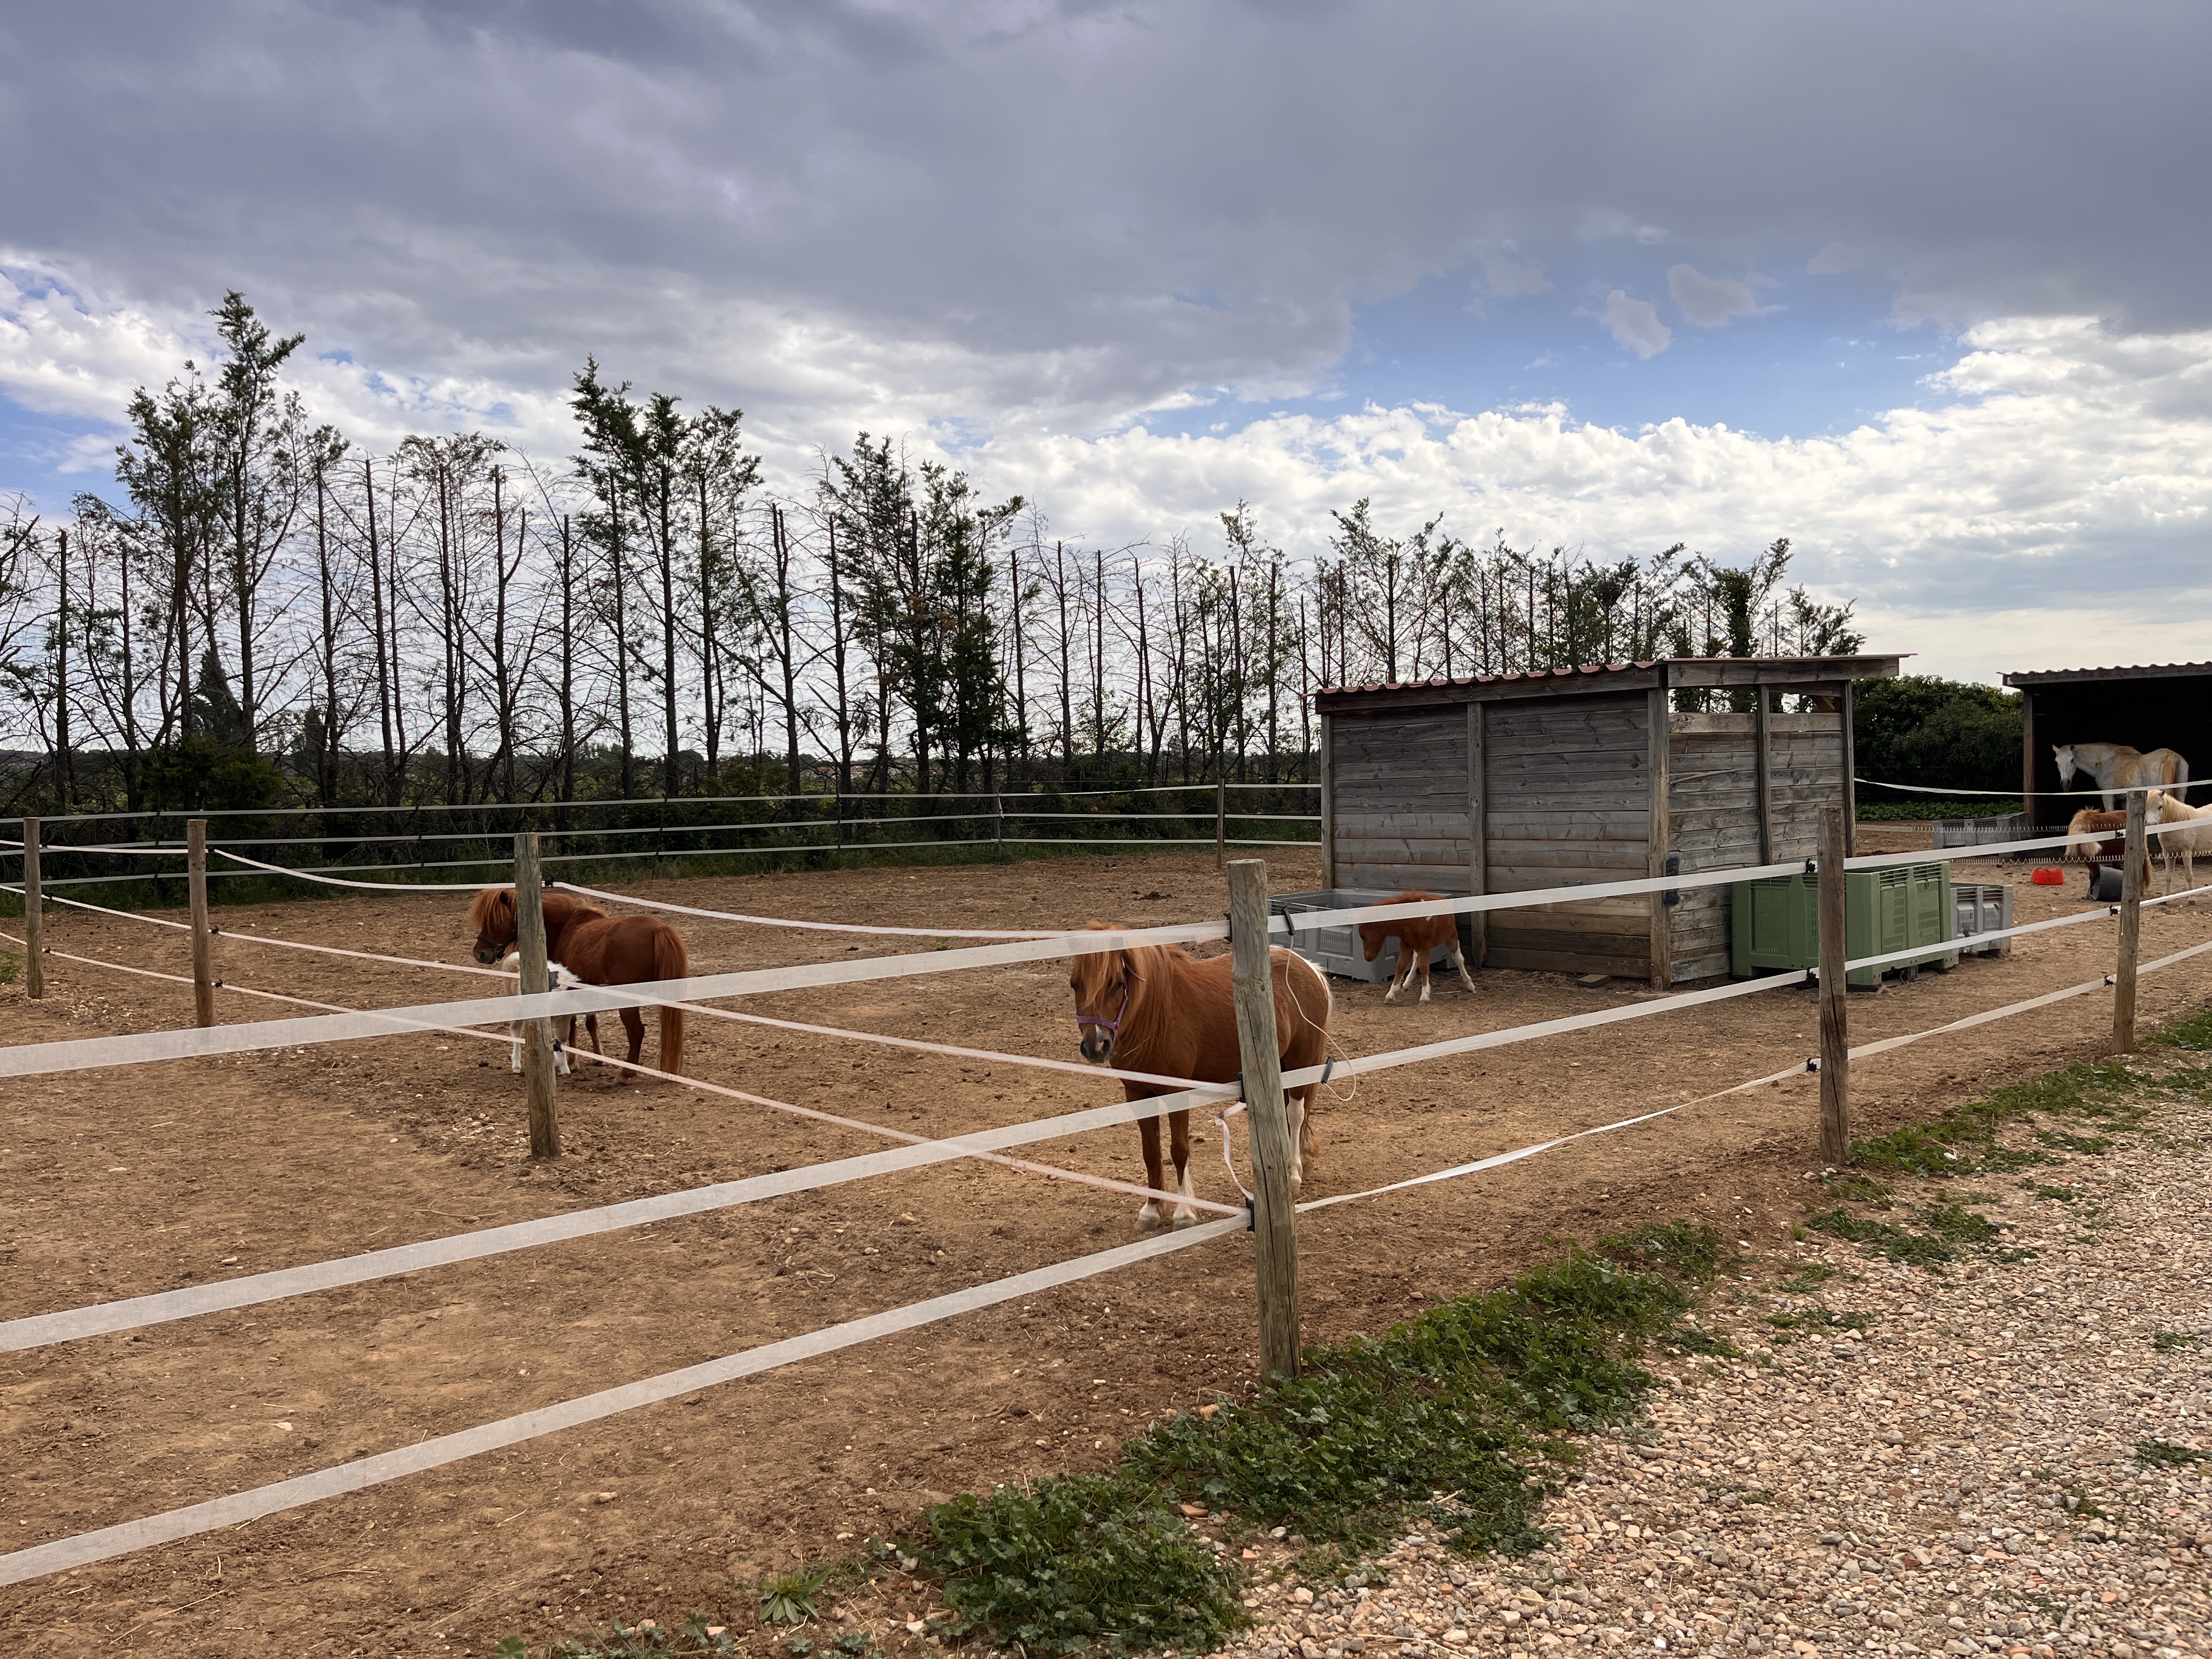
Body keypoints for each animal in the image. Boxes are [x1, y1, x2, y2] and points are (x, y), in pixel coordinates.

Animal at [469, 888, 687, 1080]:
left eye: (495, 920)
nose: (480, 953)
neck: (565, 927)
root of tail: (659, 930)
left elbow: (571, 1027)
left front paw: (571, 1062)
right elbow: (591, 1023)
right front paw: (597, 1057)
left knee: (636, 1032)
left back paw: (626, 1074)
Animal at [1068, 925, 1332, 1230]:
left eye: (1118, 983)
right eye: (1075, 984)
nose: (1096, 1046)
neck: (1155, 1016)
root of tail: (1310, 968)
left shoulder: (1176, 1094)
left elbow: (1179, 1150)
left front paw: (1184, 1213)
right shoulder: (1138, 1094)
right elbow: (1150, 1152)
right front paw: (1152, 1210)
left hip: (1299, 1066)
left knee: (1296, 1114)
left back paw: (1292, 1175)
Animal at [1357, 890, 1476, 1003]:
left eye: (1363, 935)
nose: (1367, 958)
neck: (1412, 920)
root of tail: (1441, 898)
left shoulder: (1424, 946)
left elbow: (1424, 967)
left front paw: (1425, 995)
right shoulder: (1406, 945)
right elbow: (1401, 966)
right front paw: (1391, 994)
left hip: (1451, 936)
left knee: (1458, 958)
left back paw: (1470, 986)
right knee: (1416, 959)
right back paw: (1406, 985)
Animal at [2054, 743, 2190, 811]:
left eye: (2072, 760)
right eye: (2056, 762)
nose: (2065, 783)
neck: (2106, 760)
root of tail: (2171, 756)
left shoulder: (2108, 796)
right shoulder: (2124, 799)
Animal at [2148, 791, 2212, 896]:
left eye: (2160, 806)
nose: (2152, 824)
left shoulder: (2186, 852)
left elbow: (2189, 876)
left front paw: (2192, 898)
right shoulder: (2168, 853)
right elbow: (2168, 877)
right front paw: (2166, 897)